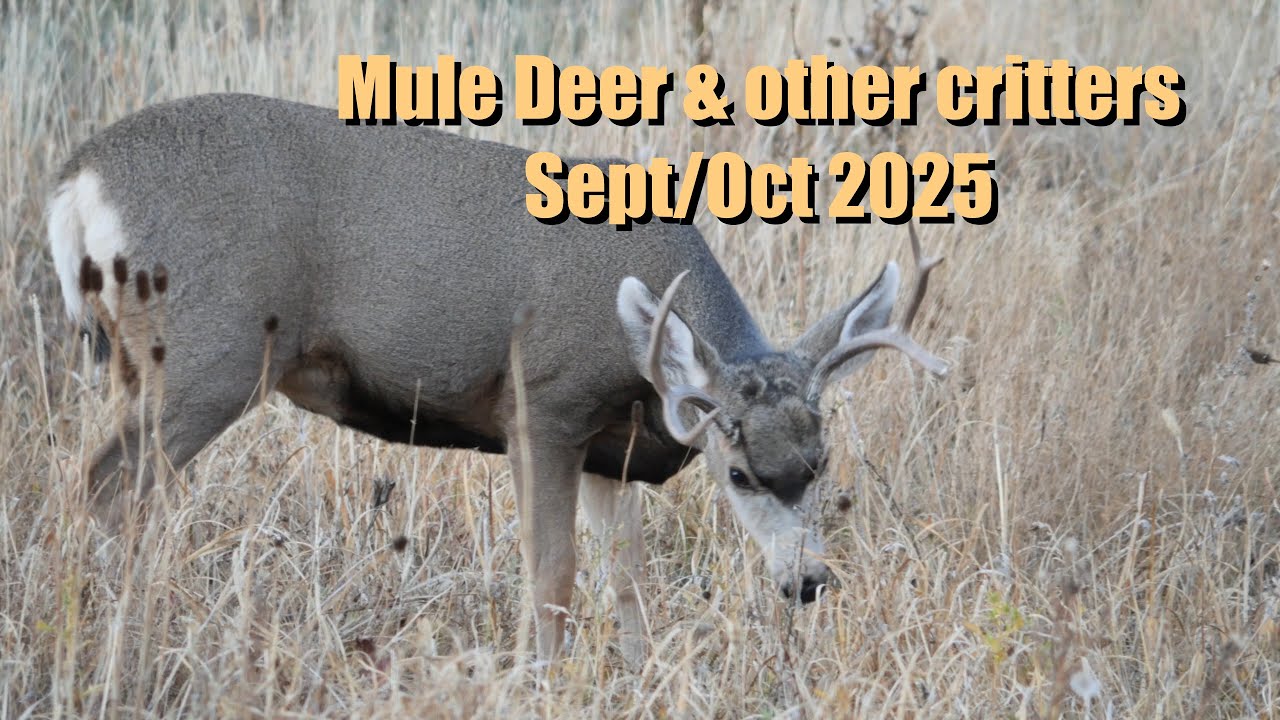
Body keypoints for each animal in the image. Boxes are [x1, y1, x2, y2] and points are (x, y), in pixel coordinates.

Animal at [46, 93, 947, 666]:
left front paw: (636, 675)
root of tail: (76, 182)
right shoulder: (544, 404)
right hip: (208, 355)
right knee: (106, 486)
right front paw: (541, 679)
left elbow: (627, 581)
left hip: (142, 360)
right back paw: (130, 636)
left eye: (820, 463)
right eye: (739, 473)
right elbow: (553, 575)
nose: (807, 583)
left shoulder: (611, 449)